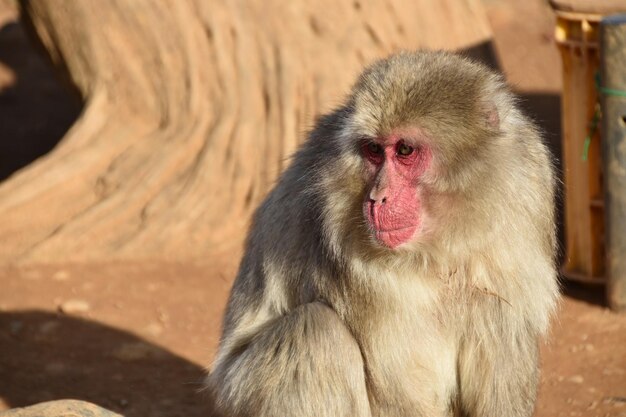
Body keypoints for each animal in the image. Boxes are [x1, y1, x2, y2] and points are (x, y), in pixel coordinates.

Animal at [204, 51, 556, 416]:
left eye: (405, 151)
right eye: (373, 150)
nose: (377, 197)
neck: (442, 242)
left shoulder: (526, 193)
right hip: (238, 392)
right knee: (314, 334)